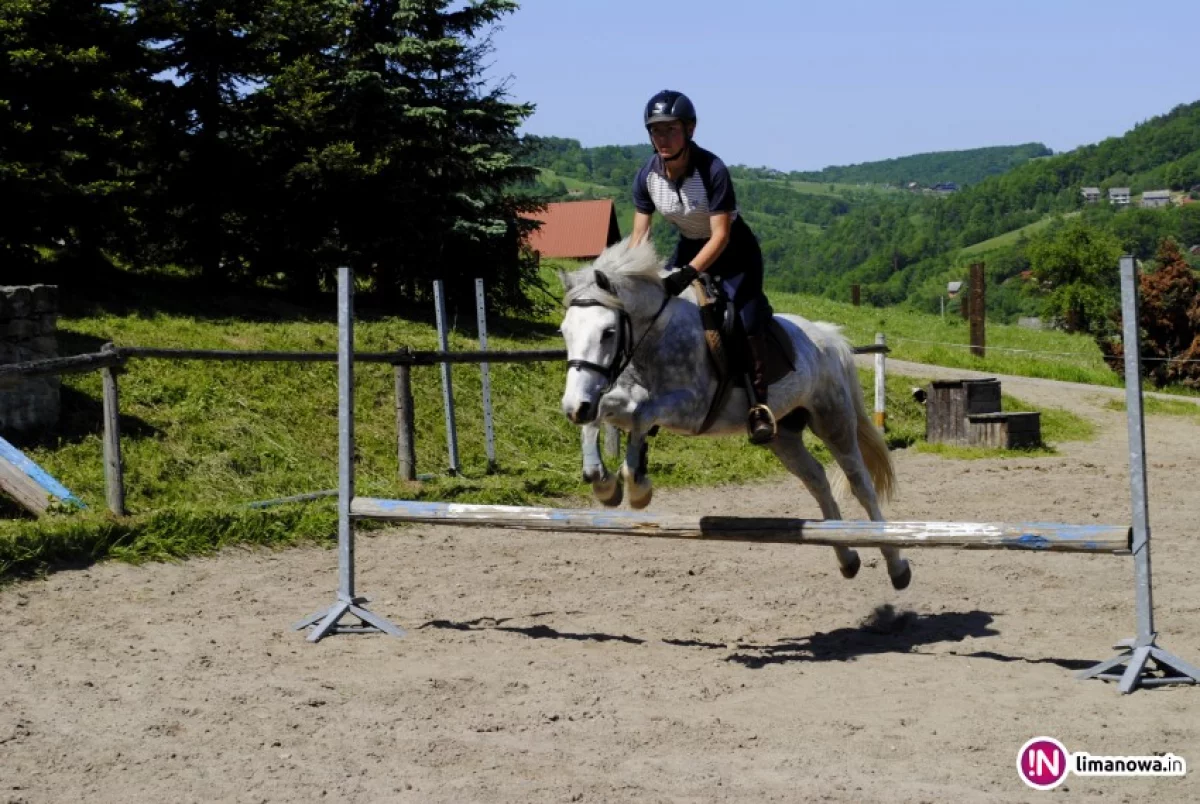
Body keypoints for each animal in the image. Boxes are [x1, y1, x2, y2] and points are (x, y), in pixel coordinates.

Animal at [556, 240, 912, 592]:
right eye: (564, 331)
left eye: (608, 332)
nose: (573, 407)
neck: (654, 335)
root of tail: (829, 338)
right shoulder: (616, 396)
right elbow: (602, 415)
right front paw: (602, 481)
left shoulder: (690, 408)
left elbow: (642, 415)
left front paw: (636, 484)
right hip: (782, 435)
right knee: (816, 479)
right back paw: (847, 558)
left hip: (832, 419)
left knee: (860, 483)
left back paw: (896, 565)